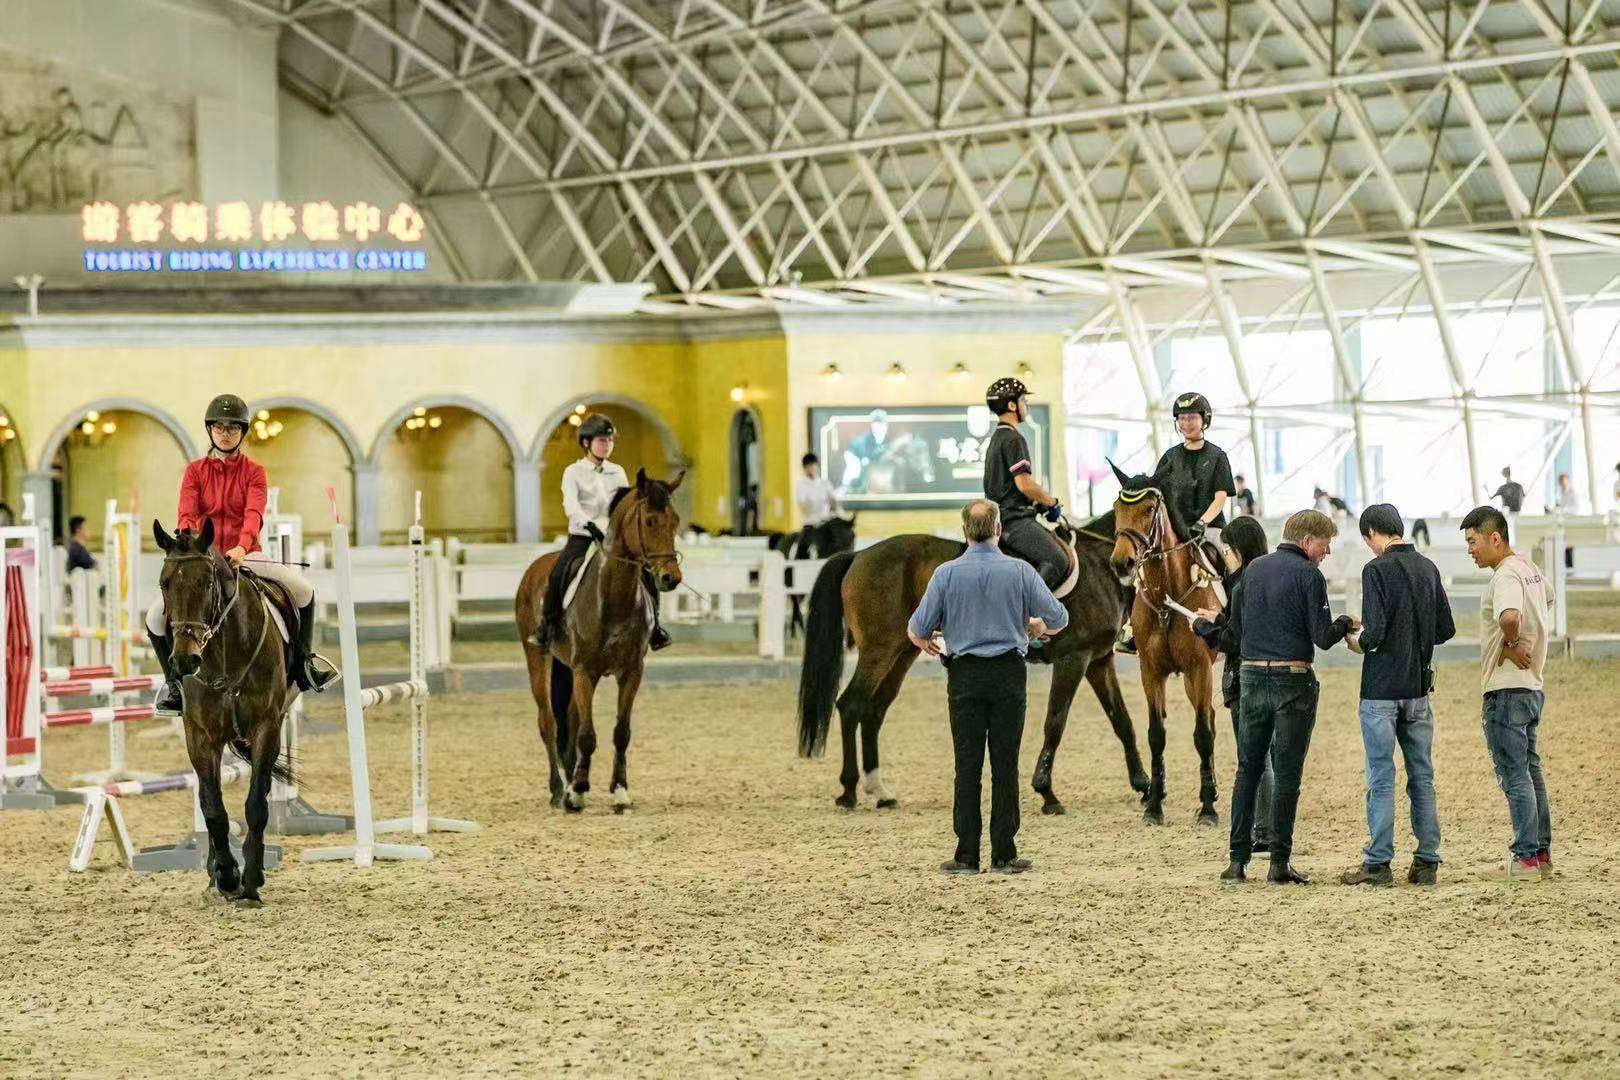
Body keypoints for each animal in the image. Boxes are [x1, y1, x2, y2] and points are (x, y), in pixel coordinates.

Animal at [153, 518, 296, 906]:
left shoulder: (266, 728)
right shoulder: (200, 736)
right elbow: (212, 808)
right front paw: (227, 875)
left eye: (208, 582)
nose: (185, 660)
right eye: (164, 583)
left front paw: (250, 878)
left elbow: (256, 805)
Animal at [511, 469, 677, 816]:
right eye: (650, 521)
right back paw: (558, 789)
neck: (614, 596)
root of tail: (536, 566)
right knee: (549, 722)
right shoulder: (584, 671)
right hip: (539, 659)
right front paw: (576, 794)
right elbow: (587, 736)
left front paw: (620, 792)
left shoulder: (631, 672)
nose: (671, 578)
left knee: (570, 720)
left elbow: (620, 733)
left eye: (675, 520)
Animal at [797, 524, 1153, 819]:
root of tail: (859, 555)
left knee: (874, 710)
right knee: (851, 705)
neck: (1100, 565)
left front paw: (1143, 784)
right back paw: (849, 790)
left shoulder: (1098, 660)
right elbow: (1055, 723)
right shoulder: (1074, 658)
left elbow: (1122, 721)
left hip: (903, 650)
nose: (1126, 564)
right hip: (879, 649)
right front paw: (1047, 794)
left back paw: (880, 791)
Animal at [1108, 466, 1218, 829]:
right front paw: (1154, 804)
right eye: (1116, 508)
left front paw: (1208, 808)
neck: (1167, 599)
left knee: (1209, 723)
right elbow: (1156, 734)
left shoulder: (1200, 668)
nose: (1122, 563)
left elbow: (1202, 735)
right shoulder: (1151, 671)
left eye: (1149, 510)